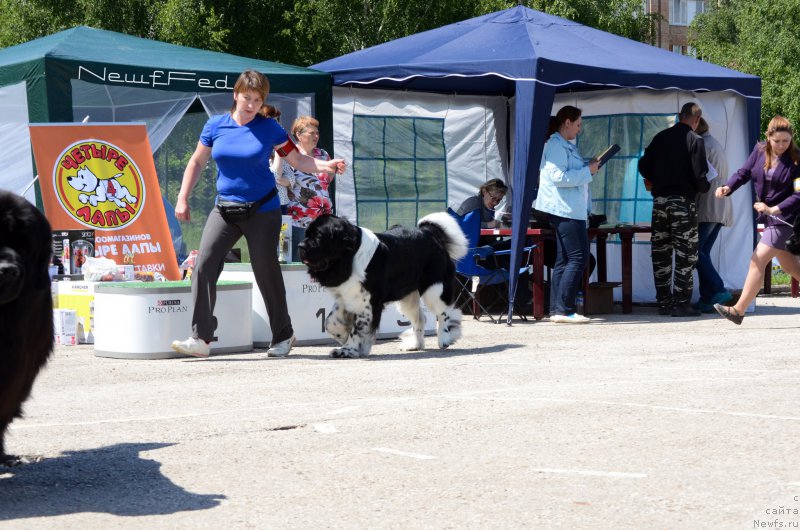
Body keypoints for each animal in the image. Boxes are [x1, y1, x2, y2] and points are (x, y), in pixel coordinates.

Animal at [296, 212, 466, 356]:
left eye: (318, 237)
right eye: (306, 235)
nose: (300, 246)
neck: (350, 256)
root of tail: (429, 232)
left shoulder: (367, 303)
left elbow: (358, 328)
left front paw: (349, 350)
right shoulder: (346, 296)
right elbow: (330, 322)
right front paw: (344, 337)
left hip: (434, 289)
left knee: (444, 312)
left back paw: (445, 339)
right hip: (408, 298)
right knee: (420, 318)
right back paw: (415, 345)